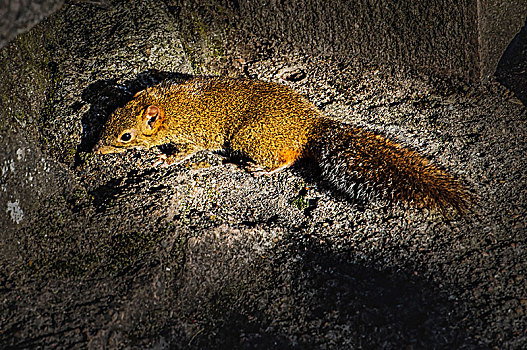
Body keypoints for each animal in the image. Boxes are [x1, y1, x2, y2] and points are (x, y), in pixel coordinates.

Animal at [94, 76, 470, 212]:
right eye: (108, 117)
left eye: (125, 137)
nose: (95, 150)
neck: (169, 106)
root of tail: (311, 128)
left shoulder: (192, 137)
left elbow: (182, 153)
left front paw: (162, 160)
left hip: (249, 137)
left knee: (289, 157)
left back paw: (262, 168)